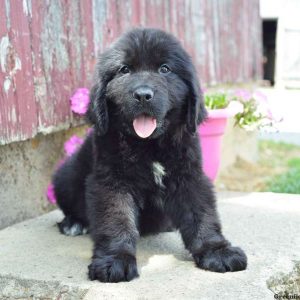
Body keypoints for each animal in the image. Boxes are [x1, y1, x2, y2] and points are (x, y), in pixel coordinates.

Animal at [52, 27, 247, 282]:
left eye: (165, 69)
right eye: (124, 70)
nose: (143, 95)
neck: (150, 146)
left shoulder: (189, 175)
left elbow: (202, 213)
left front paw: (217, 250)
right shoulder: (111, 180)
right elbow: (117, 219)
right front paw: (115, 260)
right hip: (65, 176)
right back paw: (73, 223)